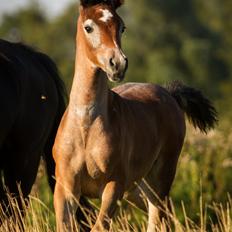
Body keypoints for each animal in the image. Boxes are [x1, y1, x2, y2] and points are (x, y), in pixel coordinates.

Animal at [53, 0, 218, 231]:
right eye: (88, 27)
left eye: (122, 27)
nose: (117, 64)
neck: (86, 127)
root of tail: (170, 94)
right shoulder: (65, 188)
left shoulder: (114, 185)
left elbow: (99, 226)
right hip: (138, 188)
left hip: (160, 178)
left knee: (159, 217)